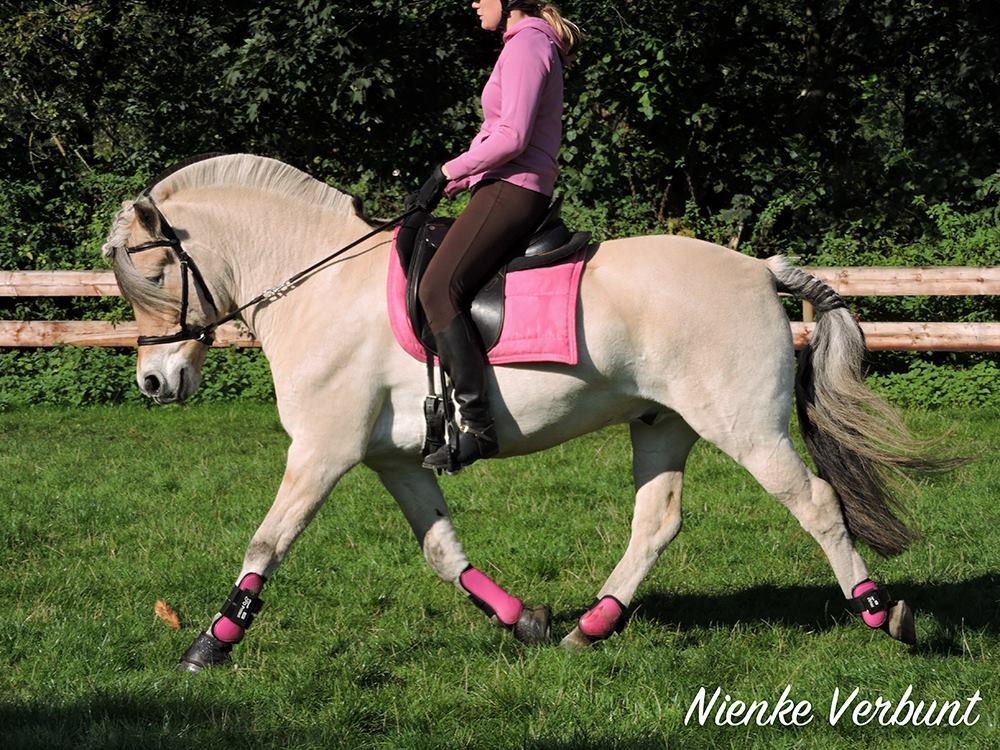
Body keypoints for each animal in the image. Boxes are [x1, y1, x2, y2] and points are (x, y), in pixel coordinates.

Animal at [102, 154, 939, 670]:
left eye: (152, 273)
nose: (154, 382)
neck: (320, 284)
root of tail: (761, 270)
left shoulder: (321, 452)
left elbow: (266, 543)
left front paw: (211, 643)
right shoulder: (395, 460)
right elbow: (443, 553)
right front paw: (526, 621)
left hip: (746, 428)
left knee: (817, 505)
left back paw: (880, 615)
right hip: (662, 424)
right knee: (657, 521)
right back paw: (591, 628)